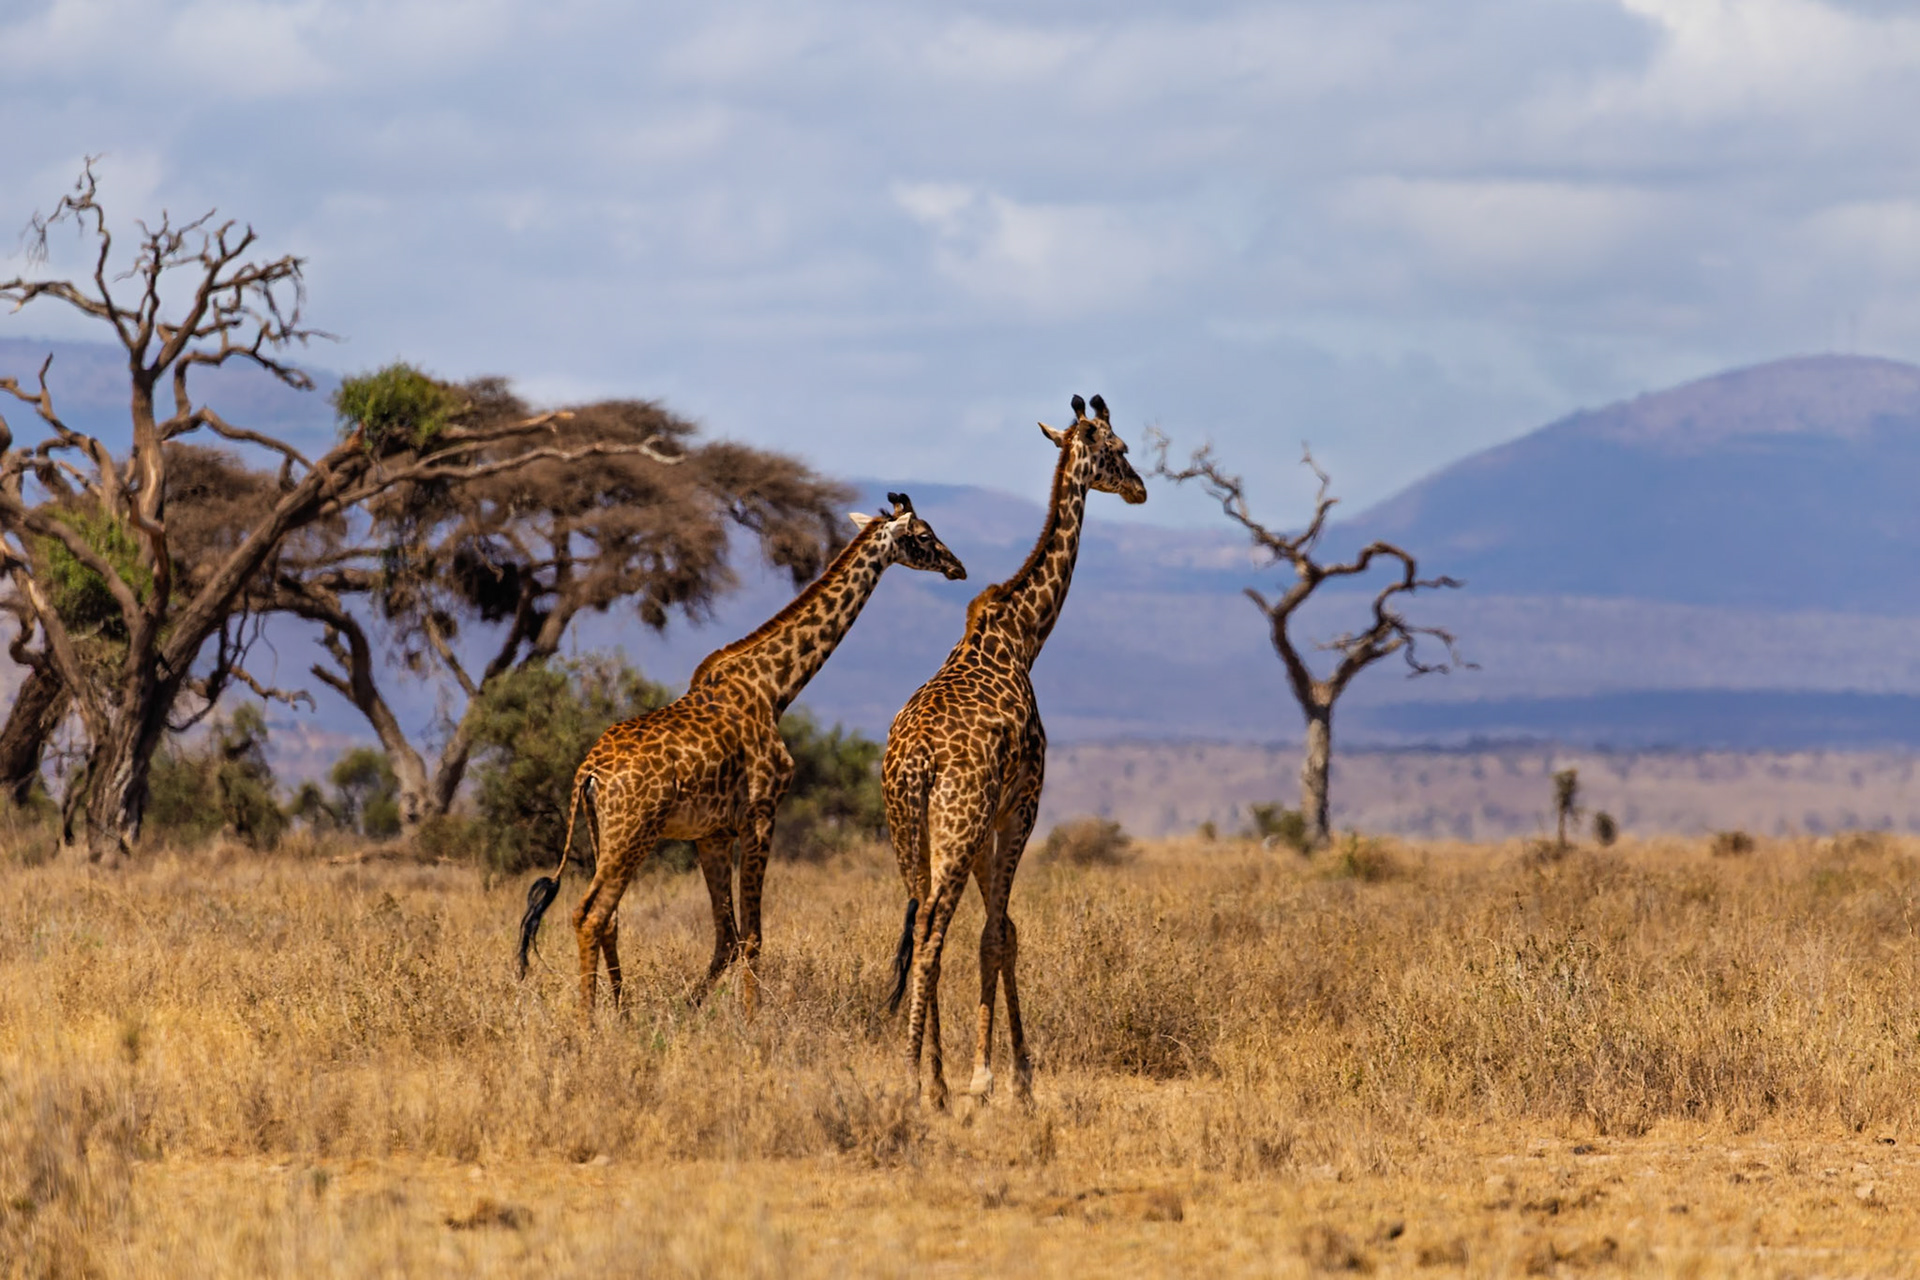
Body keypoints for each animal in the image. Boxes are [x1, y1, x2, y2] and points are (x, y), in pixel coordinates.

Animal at [518, 492, 967, 1016]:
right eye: (924, 536)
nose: (957, 567)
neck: (774, 687)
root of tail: (588, 773)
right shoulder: (761, 814)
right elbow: (752, 935)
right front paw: (752, 1018)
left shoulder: (711, 834)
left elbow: (726, 936)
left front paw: (691, 1007)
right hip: (633, 833)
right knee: (589, 914)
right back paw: (589, 1019)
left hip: (601, 832)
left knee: (607, 918)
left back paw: (621, 1008)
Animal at [881, 394, 1146, 1106]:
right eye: (1119, 449)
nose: (1140, 489)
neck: (1025, 636)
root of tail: (915, 764)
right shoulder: (1020, 805)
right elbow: (998, 935)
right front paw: (1004, 1079)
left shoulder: (985, 826)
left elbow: (1001, 933)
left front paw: (983, 1074)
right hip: (954, 825)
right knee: (932, 933)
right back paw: (918, 1081)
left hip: (911, 833)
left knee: (920, 924)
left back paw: (932, 1078)